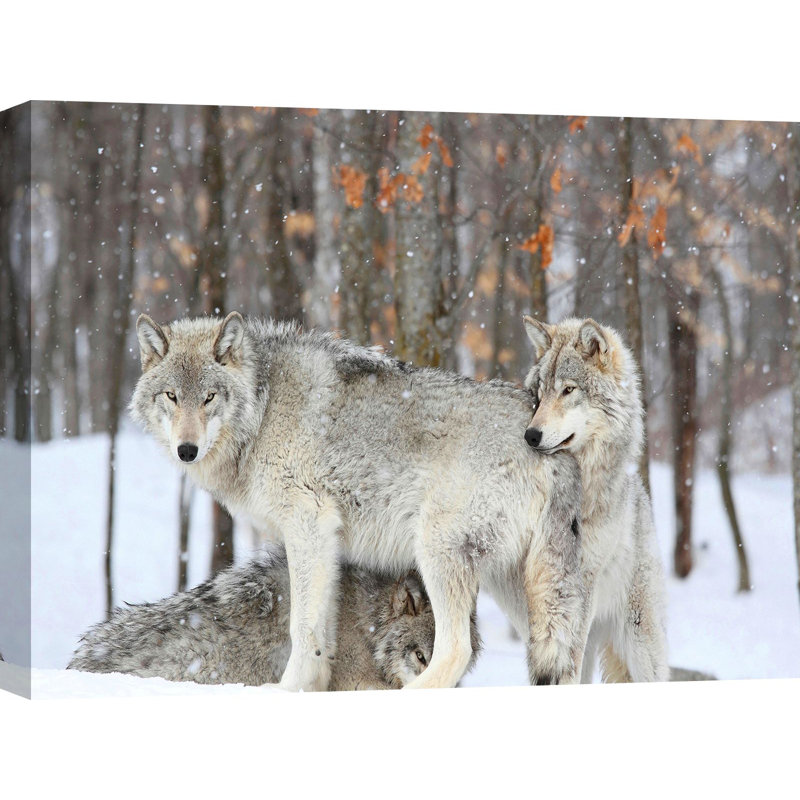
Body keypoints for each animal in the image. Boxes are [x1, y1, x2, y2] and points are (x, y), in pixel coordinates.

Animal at [130, 312, 584, 690]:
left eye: (209, 397)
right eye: (171, 396)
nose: (186, 450)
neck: (263, 409)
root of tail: (548, 444)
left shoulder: (308, 525)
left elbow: (301, 629)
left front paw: (285, 692)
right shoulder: (327, 545)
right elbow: (324, 632)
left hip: (437, 551)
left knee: (457, 649)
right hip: (520, 587)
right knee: (566, 659)